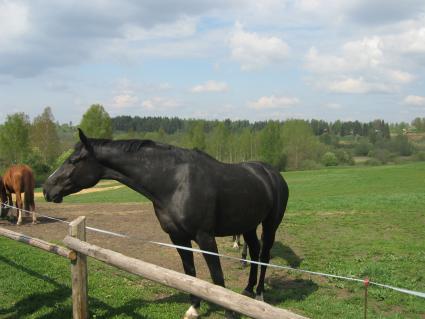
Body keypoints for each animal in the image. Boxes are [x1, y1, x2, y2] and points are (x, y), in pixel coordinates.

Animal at [43, 130, 288, 319]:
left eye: (73, 161)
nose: (47, 188)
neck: (175, 181)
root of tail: (270, 173)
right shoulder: (178, 237)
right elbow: (190, 273)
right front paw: (194, 309)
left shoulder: (205, 237)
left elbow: (217, 278)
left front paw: (229, 312)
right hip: (248, 225)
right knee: (255, 252)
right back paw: (247, 291)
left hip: (270, 225)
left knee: (264, 255)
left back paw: (259, 295)